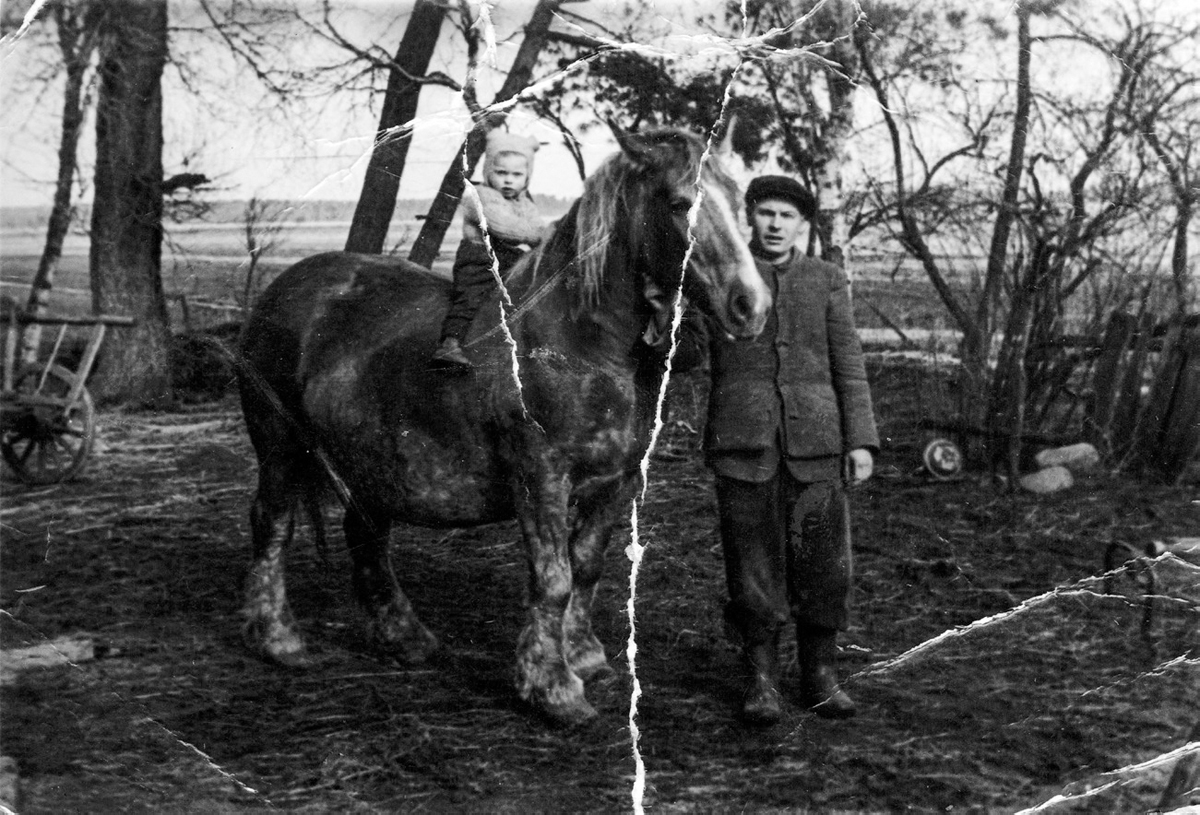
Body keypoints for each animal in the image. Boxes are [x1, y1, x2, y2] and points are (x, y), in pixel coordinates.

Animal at [236, 125, 770, 725]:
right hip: (280, 445)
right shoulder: (541, 477)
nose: (750, 305)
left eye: (738, 197)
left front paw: (583, 656)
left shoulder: (617, 480)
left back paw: (403, 636)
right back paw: (278, 639)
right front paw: (552, 687)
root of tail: (281, 291)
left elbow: (586, 566)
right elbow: (554, 578)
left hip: (369, 457)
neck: (584, 342)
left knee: (366, 535)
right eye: (680, 203)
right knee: (272, 524)